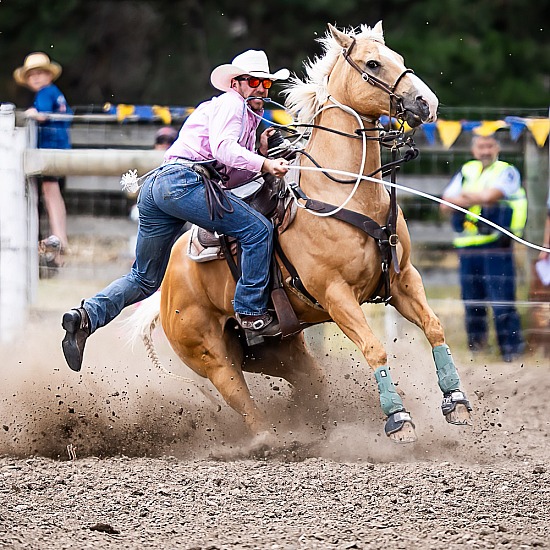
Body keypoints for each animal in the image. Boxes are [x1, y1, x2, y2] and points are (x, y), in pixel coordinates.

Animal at [135, 21, 474, 446]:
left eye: (399, 58)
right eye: (373, 63)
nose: (426, 102)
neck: (344, 192)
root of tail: (165, 286)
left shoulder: (402, 279)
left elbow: (434, 327)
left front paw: (455, 399)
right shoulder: (335, 294)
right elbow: (374, 349)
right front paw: (399, 420)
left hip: (280, 350)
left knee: (311, 385)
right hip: (212, 358)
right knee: (245, 406)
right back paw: (272, 443)